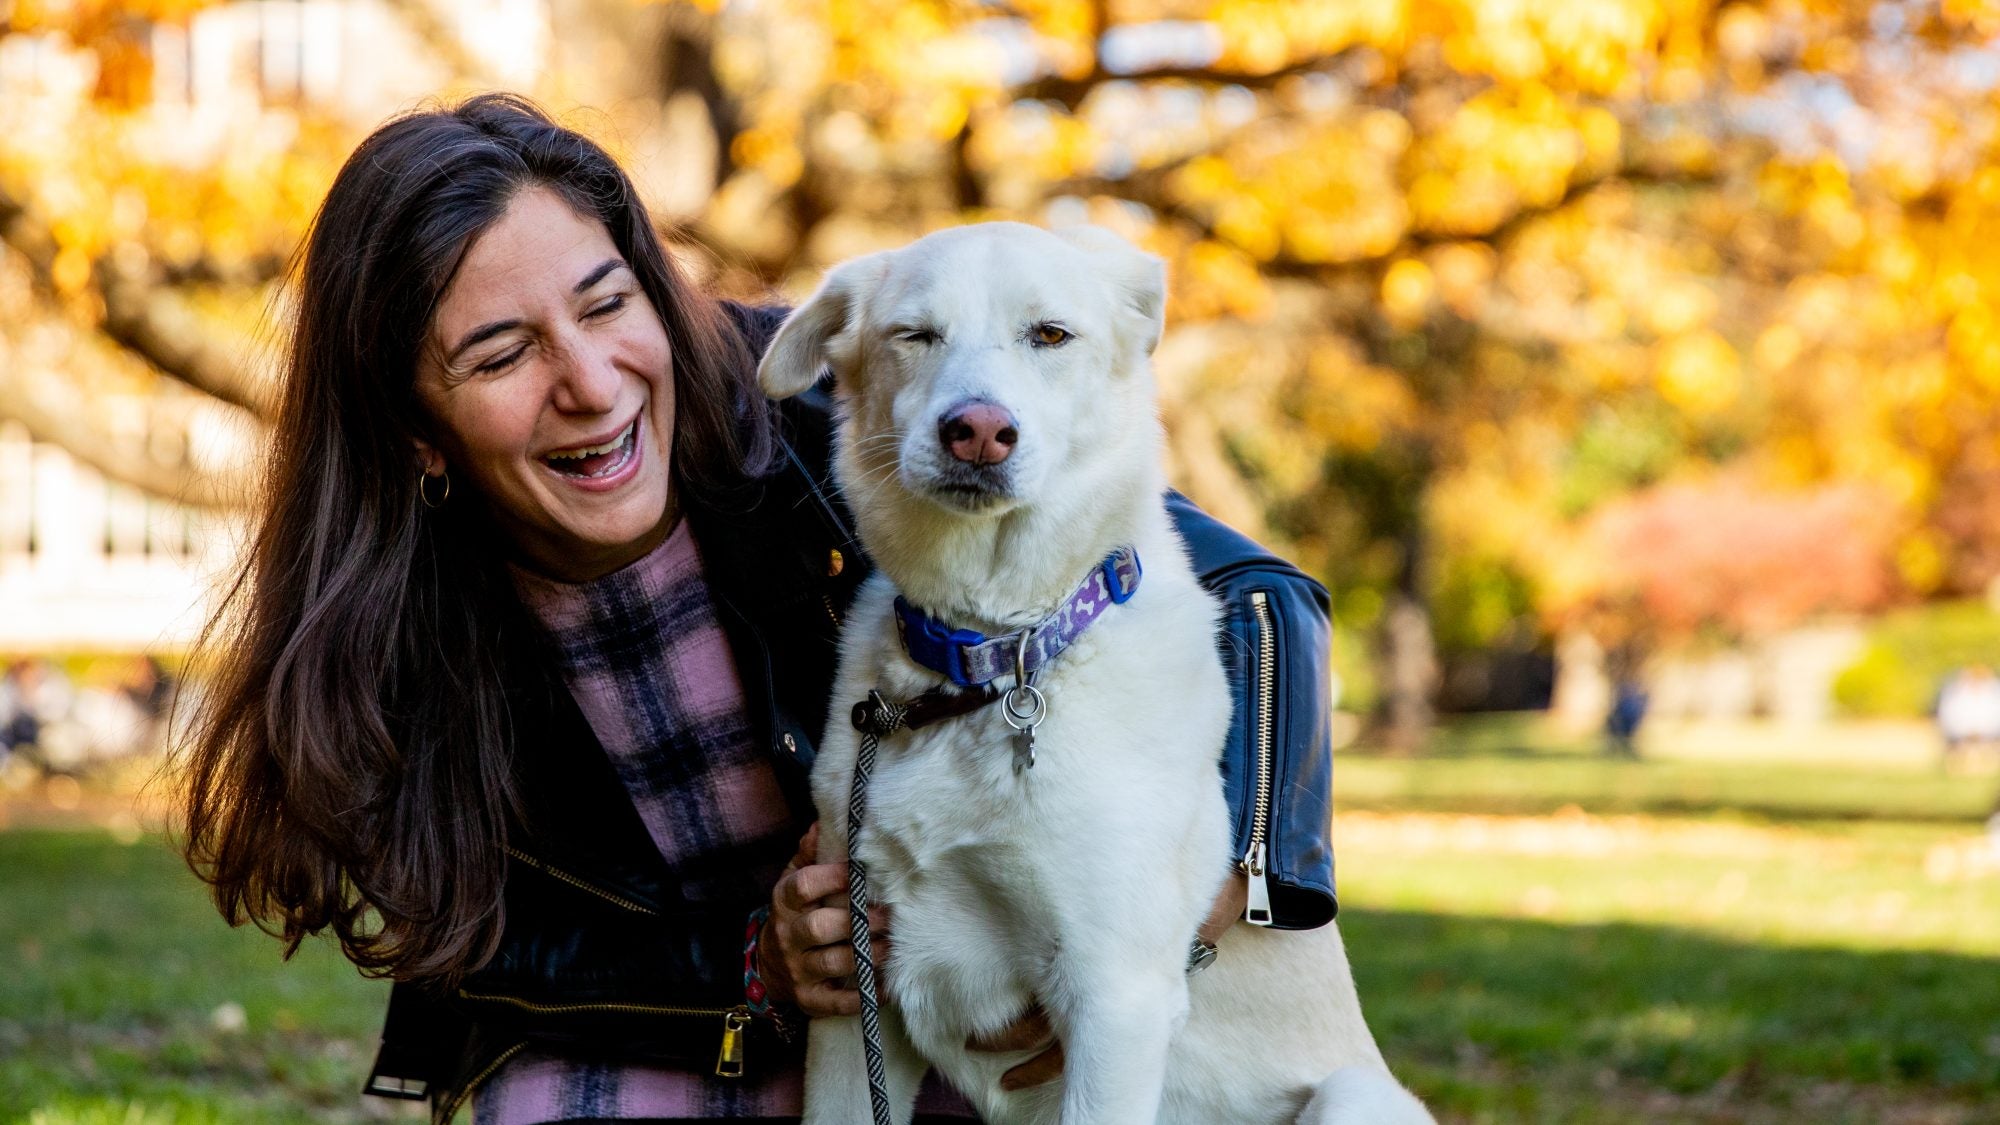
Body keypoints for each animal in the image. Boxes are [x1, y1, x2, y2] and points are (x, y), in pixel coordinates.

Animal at [756, 221, 1432, 1120]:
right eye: (915, 335)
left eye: (1051, 335)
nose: (977, 430)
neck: (989, 654)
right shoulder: (852, 985)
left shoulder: (1115, 999)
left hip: (1355, 1094)